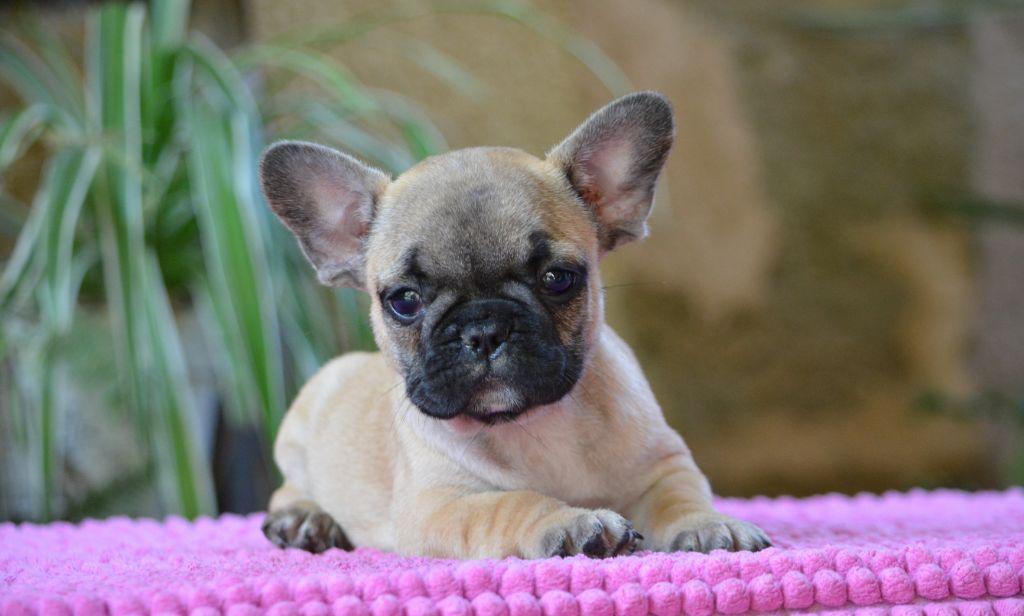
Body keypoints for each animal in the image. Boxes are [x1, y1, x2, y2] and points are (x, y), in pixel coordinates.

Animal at [256, 91, 770, 556]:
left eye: (557, 279)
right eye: (404, 301)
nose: (484, 329)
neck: (535, 422)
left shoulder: (663, 464)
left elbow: (679, 497)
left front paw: (708, 523)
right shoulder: (439, 507)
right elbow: (510, 503)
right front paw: (570, 521)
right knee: (285, 490)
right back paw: (304, 520)